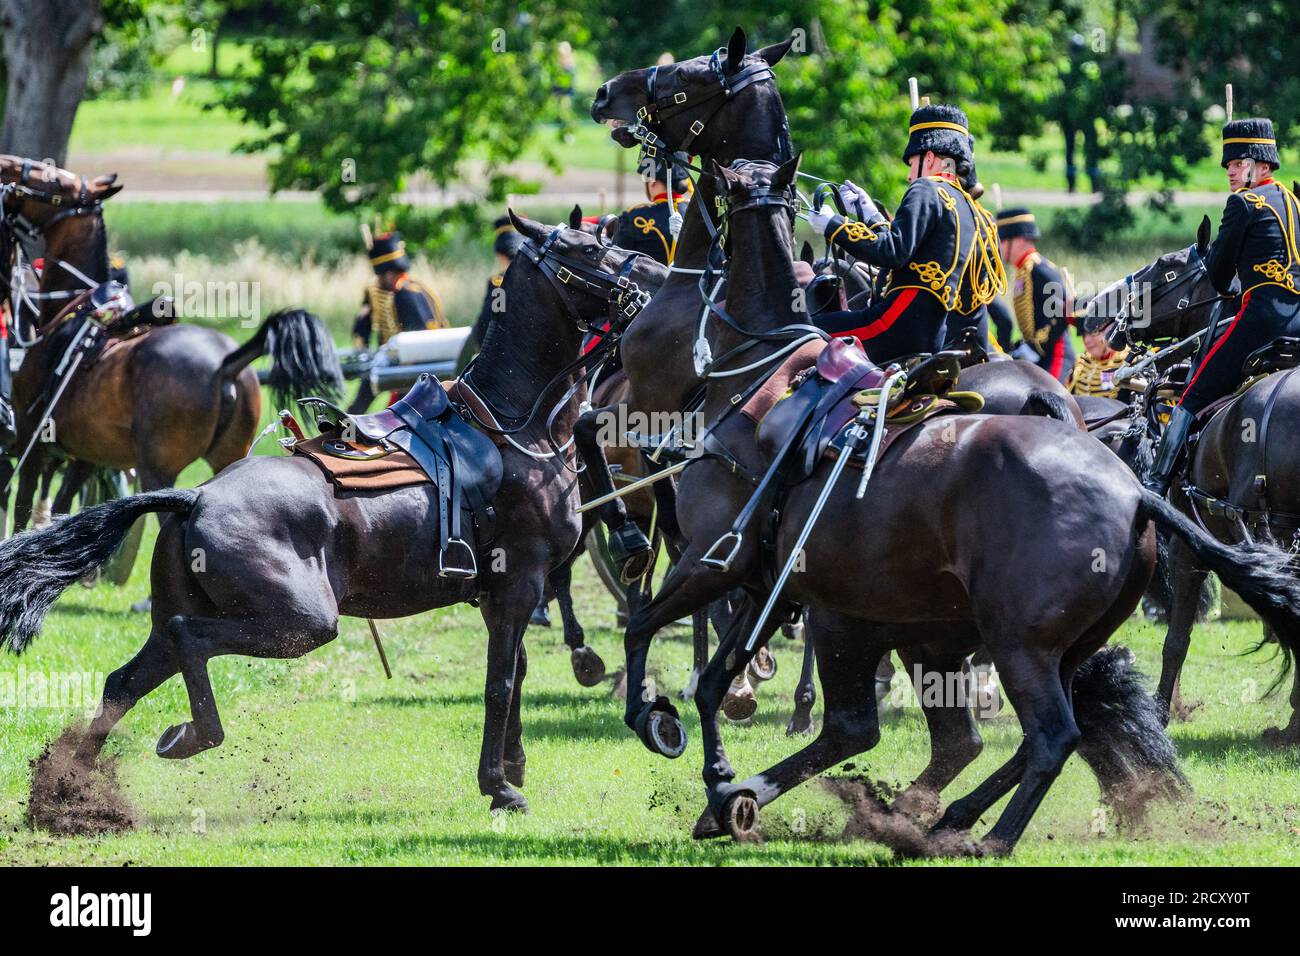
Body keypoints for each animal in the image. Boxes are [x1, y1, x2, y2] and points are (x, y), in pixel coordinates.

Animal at [0, 156, 340, 530]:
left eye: (51, 179)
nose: (7, 166)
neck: (72, 308)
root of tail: (226, 365)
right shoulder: (86, 457)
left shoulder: (34, 446)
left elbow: (22, 511)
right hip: (229, 456)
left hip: (156, 471)